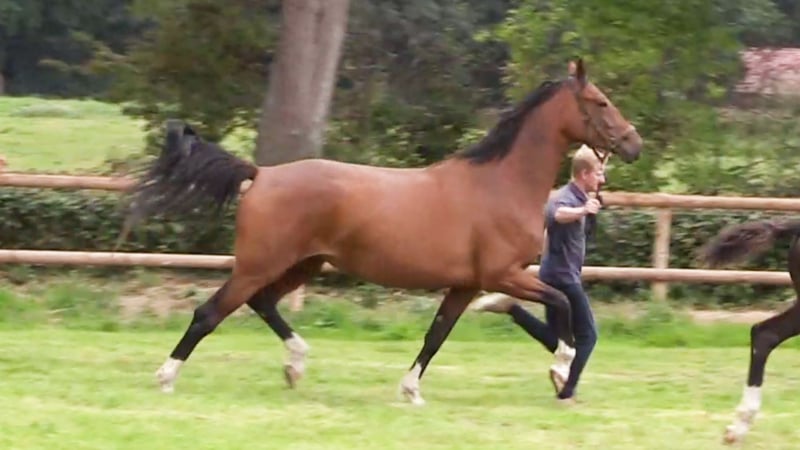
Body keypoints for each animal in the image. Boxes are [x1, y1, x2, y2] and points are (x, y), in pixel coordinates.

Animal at [119, 59, 643, 405]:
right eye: (600, 102)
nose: (633, 143)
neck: (500, 183)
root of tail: (261, 174)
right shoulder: (502, 274)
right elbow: (560, 304)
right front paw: (560, 367)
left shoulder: (466, 284)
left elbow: (436, 335)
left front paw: (410, 391)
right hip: (259, 264)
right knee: (208, 313)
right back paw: (166, 378)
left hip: (302, 264)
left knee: (262, 304)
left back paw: (295, 365)